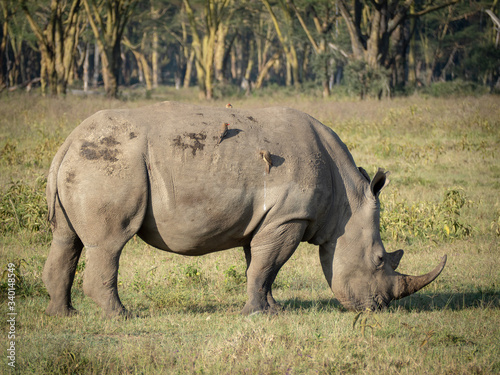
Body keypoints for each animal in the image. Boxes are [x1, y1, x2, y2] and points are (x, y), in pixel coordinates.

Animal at [45, 100, 448, 318]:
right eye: (380, 259)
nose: (377, 308)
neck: (346, 200)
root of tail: (66, 142)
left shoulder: (270, 219)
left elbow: (261, 266)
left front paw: (273, 310)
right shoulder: (290, 216)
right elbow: (266, 266)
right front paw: (257, 314)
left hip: (86, 164)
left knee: (67, 239)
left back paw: (65, 314)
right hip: (110, 165)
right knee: (110, 243)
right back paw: (122, 316)